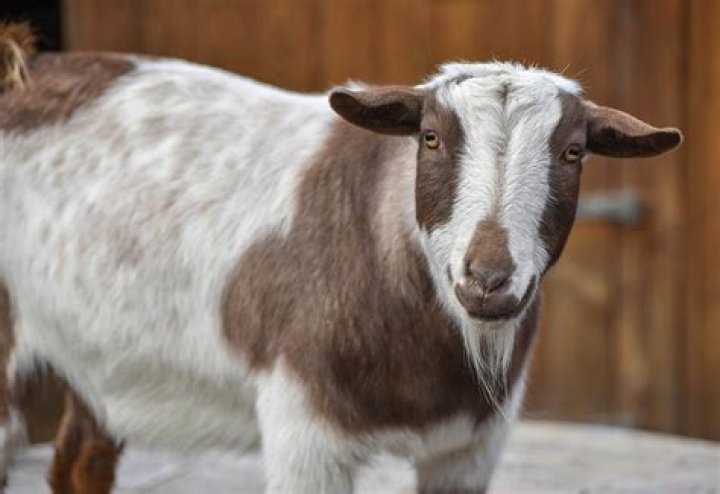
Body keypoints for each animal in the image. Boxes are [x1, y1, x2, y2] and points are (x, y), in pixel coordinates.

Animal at [0, 24, 681, 493]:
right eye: (429, 138)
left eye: (573, 152)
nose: (488, 279)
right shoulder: (303, 430)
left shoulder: (470, 449)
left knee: (80, 461)